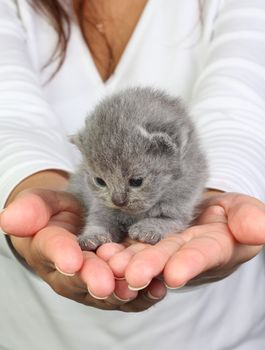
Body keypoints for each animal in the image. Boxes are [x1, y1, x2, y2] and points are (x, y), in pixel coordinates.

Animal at [67, 87, 206, 252]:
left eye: (136, 181)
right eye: (100, 181)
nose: (118, 201)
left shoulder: (178, 211)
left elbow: (163, 221)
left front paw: (147, 229)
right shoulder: (101, 206)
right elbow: (98, 221)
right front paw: (93, 236)